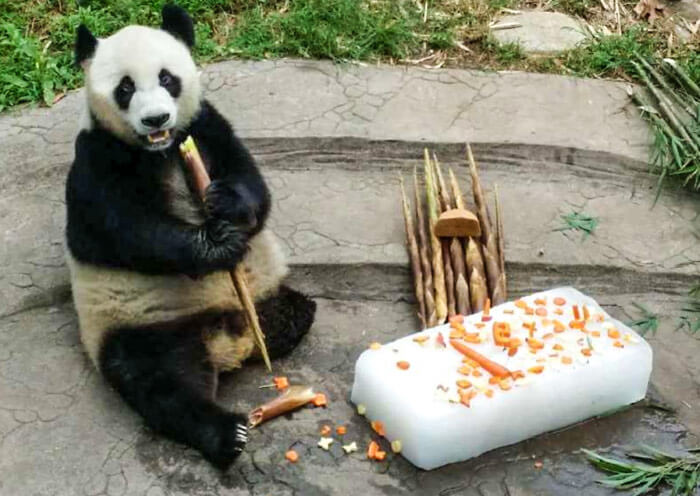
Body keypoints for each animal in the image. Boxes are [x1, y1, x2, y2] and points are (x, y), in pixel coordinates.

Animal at [66, 5, 316, 469]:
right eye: (125, 88)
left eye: (167, 78)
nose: (156, 119)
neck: (159, 150)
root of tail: (226, 343)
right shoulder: (96, 160)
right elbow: (127, 230)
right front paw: (214, 245)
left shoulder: (205, 127)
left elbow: (250, 181)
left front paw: (226, 204)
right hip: (143, 325)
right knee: (160, 383)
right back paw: (227, 433)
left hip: (262, 296)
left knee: (300, 310)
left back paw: (275, 331)